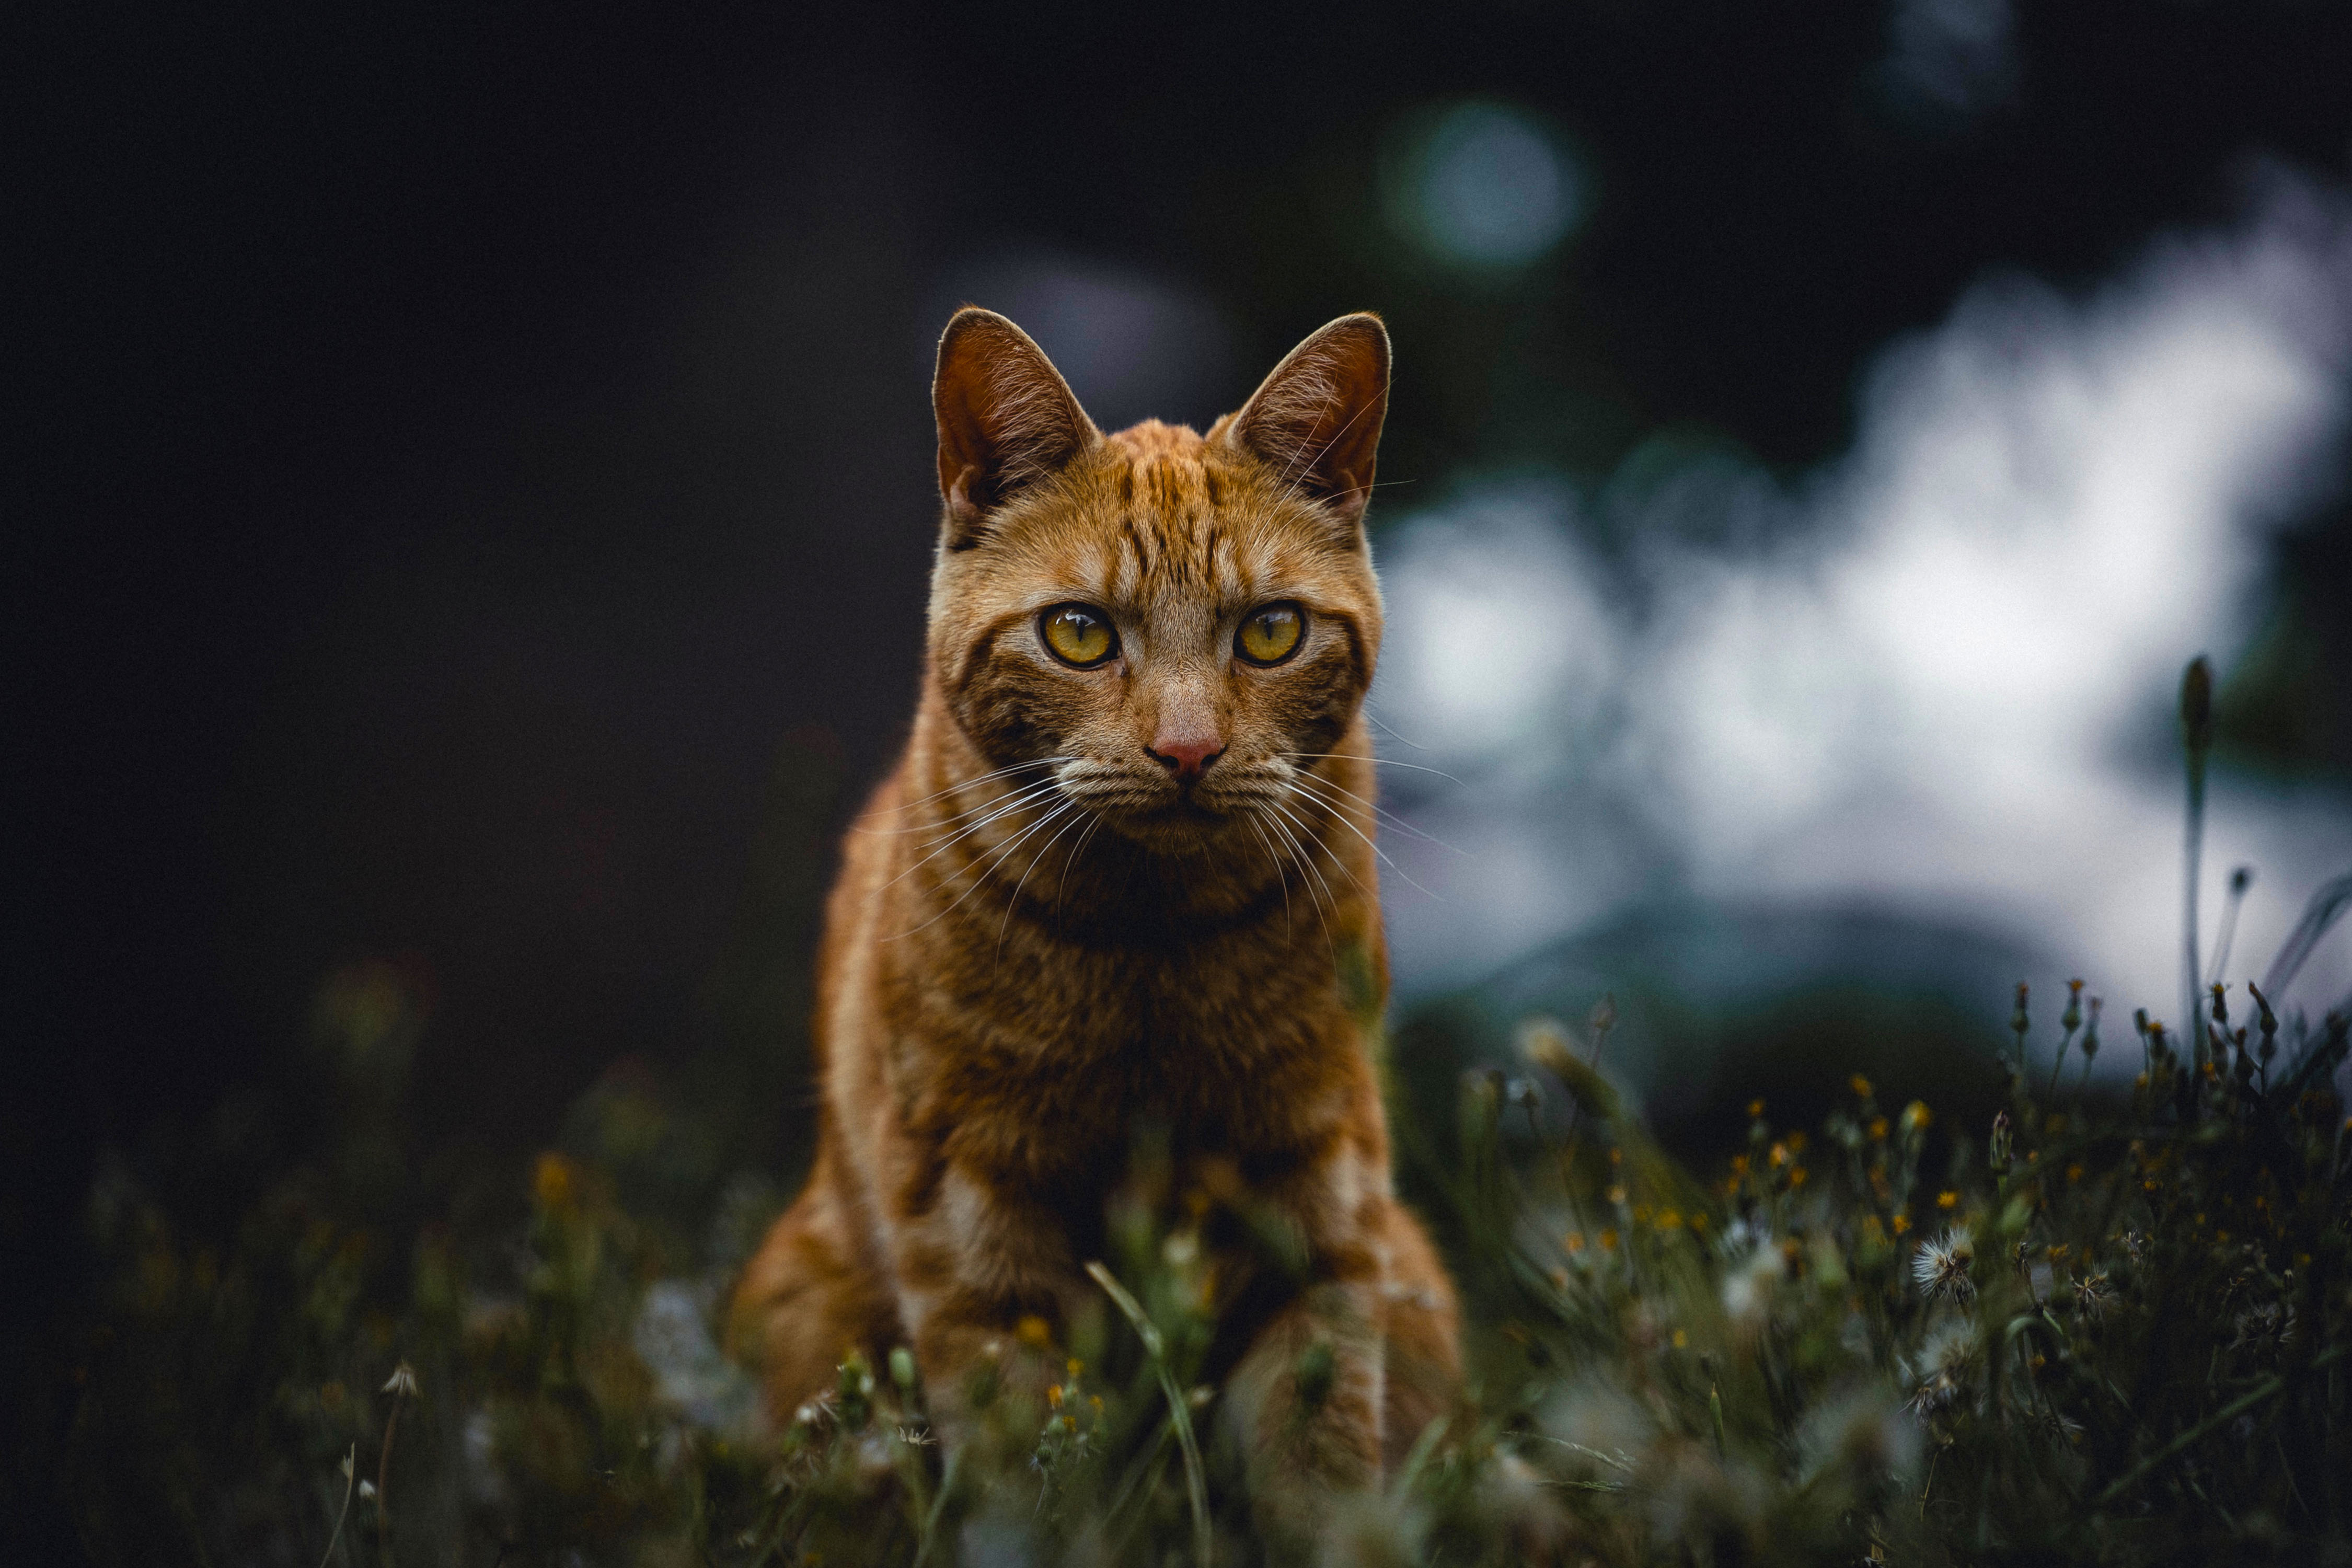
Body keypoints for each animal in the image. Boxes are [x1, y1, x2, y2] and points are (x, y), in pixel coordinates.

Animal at [724, 305, 1458, 1532]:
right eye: (1077, 634)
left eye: (1271, 634)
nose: (1188, 750)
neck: (1150, 957)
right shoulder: (974, 1232)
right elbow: (1033, 1482)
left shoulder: (1320, 1214)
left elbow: (1318, 1467)